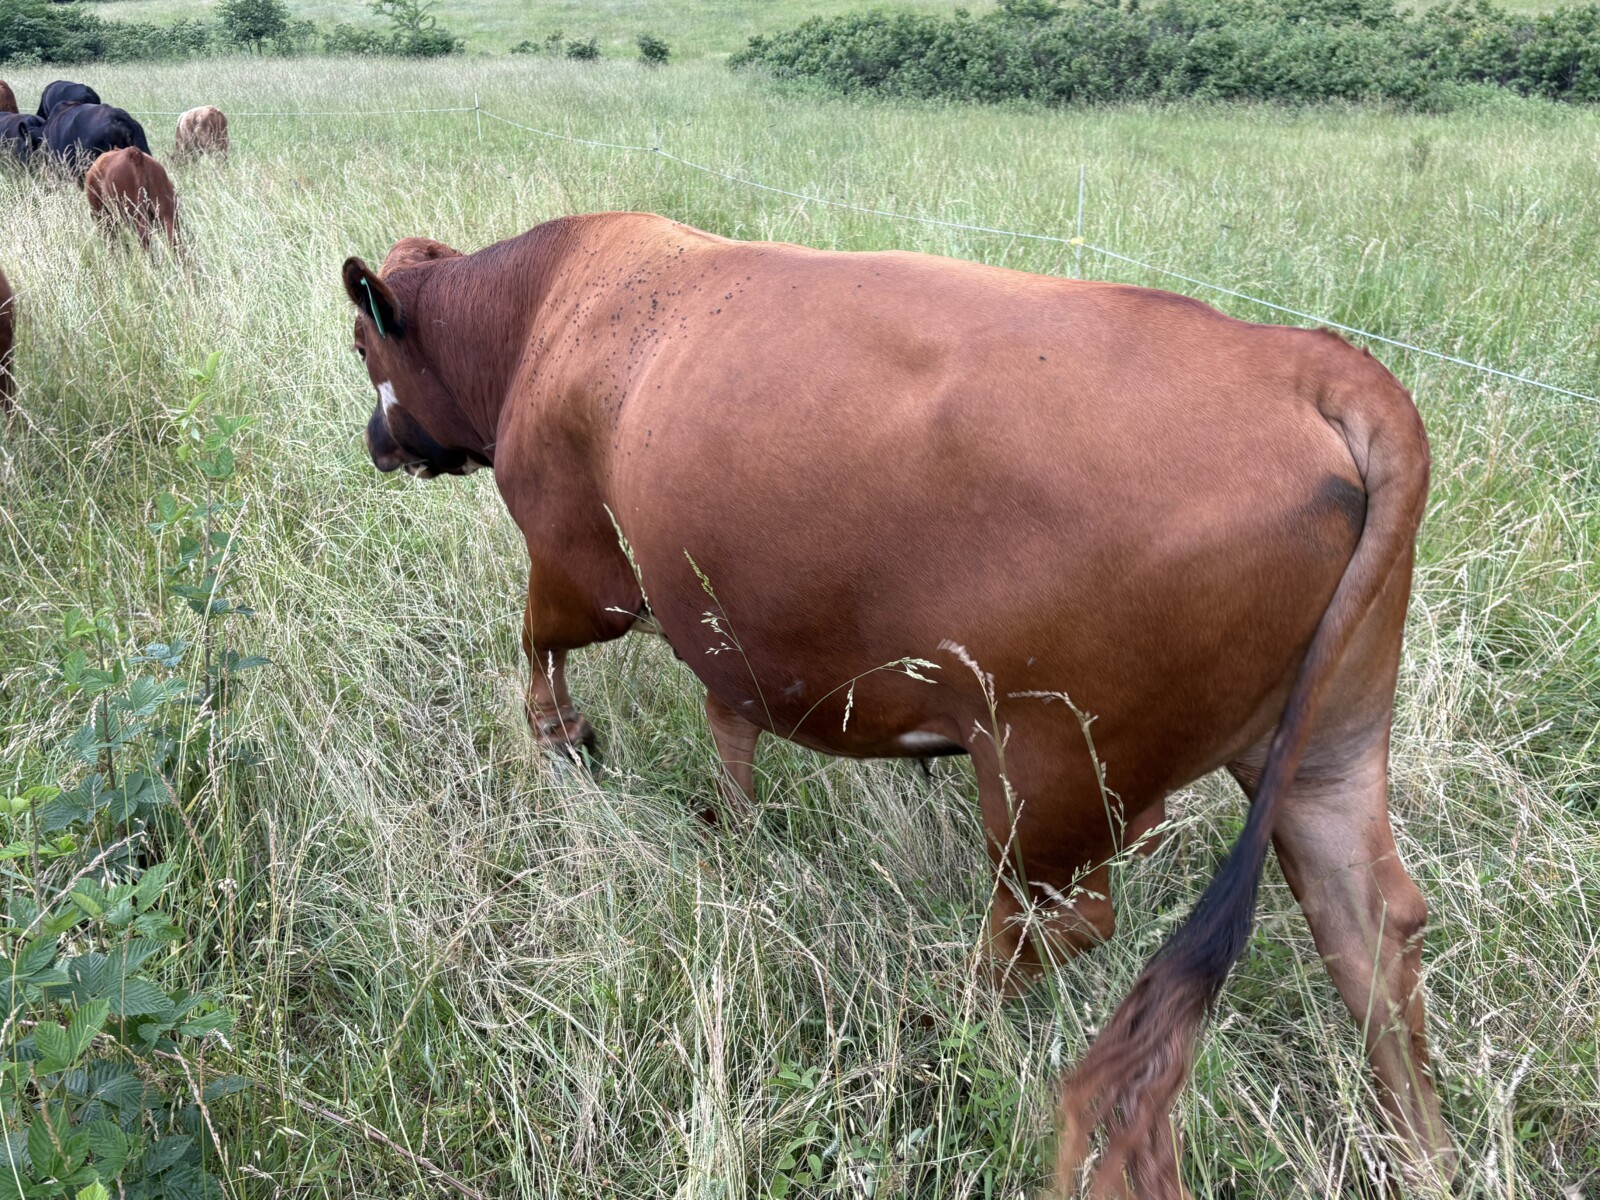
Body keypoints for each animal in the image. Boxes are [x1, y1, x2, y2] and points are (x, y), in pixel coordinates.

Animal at [341, 213, 1455, 1198]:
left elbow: (535, 641)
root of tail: (1312, 365)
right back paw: (1423, 1154)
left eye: (361, 345)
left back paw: (930, 1030)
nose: (377, 443)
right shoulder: (727, 626)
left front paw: (560, 737)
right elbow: (728, 726)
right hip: (1325, 755)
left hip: (1049, 768)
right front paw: (732, 830)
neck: (549, 309)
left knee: (1054, 925)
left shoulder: (582, 565)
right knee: (1371, 930)